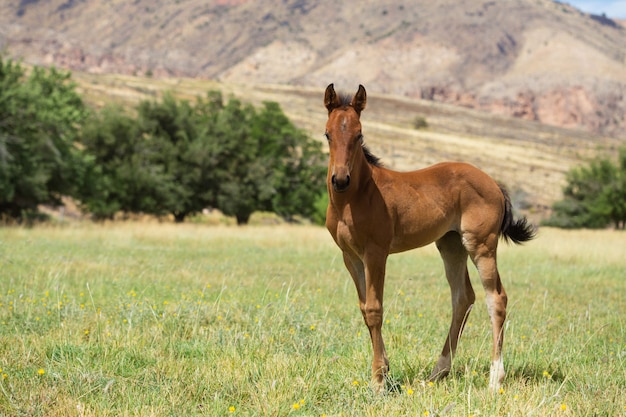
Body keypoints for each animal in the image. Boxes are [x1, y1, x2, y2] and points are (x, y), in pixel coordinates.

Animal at [322, 83, 532, 390]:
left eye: (360, 135)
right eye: (327, 134)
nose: (340, 180)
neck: (357, 196)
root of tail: (493, 183)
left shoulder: (376, 252)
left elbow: (374, 309)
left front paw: (378, 380)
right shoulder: (350, 256)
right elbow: (363, 309)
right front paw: (383, 371)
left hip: (481, 245)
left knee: (496, 298)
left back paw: (495, 378)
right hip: (451, 245)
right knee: (463, 298)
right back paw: (438, 372)